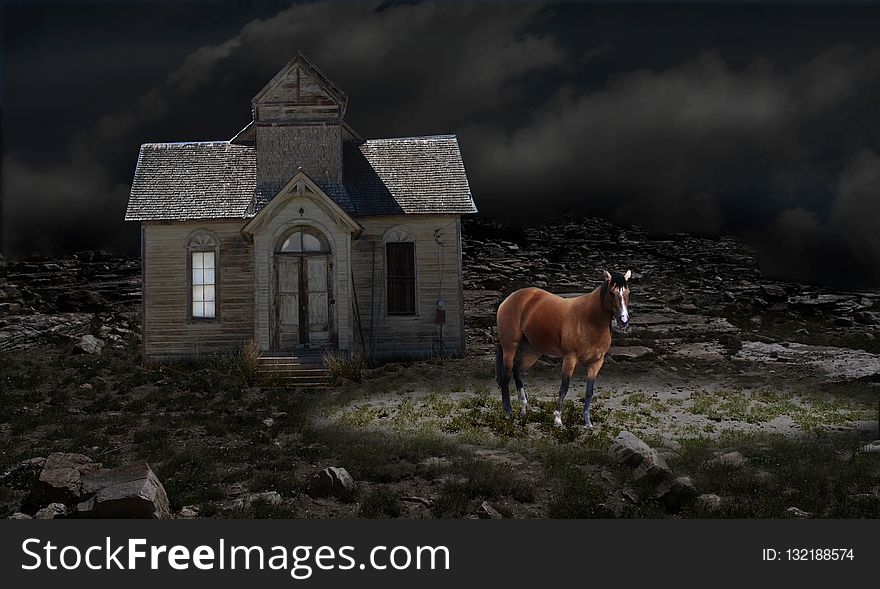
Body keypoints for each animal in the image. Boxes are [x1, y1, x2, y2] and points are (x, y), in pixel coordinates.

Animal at [496, 268, 632, 428]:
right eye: (612, 293)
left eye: (627, 292)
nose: (624, 320)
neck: (590, 320)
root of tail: (511, 298)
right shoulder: (570, 358)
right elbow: (564, 388)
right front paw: (557, 420)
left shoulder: (596, 362)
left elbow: (589, 391)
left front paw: (587, 423)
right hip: (509, 347)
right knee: (506, 376)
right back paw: (507, 413)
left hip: (532, 350)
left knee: (517, 370)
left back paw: (523, 409)